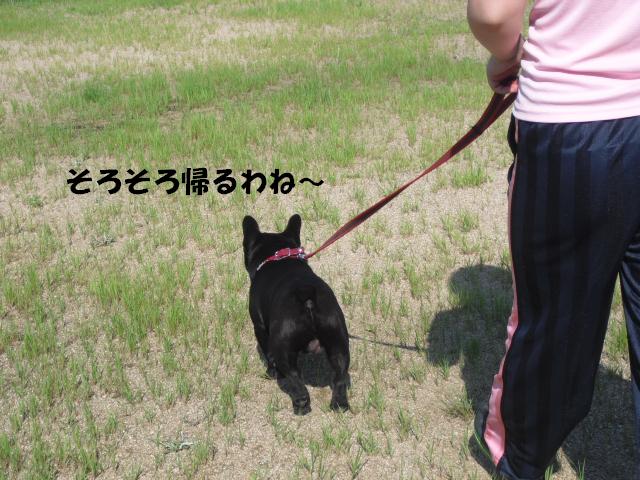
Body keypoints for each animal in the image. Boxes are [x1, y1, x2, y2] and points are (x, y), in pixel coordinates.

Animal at [242, 214, 350, 415]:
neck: (278, 257)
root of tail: (307, 297)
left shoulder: (259, 327)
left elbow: (267, 353)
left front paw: (271, 372)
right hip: (338, 339)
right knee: (340, 376)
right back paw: (340, 404)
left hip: (282, 346)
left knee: (295, 378)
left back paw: (300, 405)